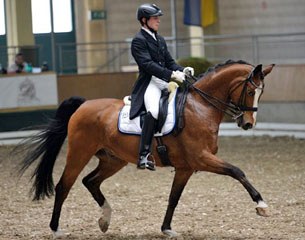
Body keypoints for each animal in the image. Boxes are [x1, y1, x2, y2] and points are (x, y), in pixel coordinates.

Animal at [16, 60, 274, 238]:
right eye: (250, 91)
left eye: (262, 92)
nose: (248, 124)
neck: (201, 107)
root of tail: (84, 105)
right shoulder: (201, 158)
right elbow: (237, 171)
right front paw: (261, 205)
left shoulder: (186, 168)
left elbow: (173, 198)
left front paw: (167, 229)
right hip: (79, 153)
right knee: (64, 186)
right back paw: (56, 229)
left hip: (113, 160)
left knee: (90, 181)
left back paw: (105, 220)